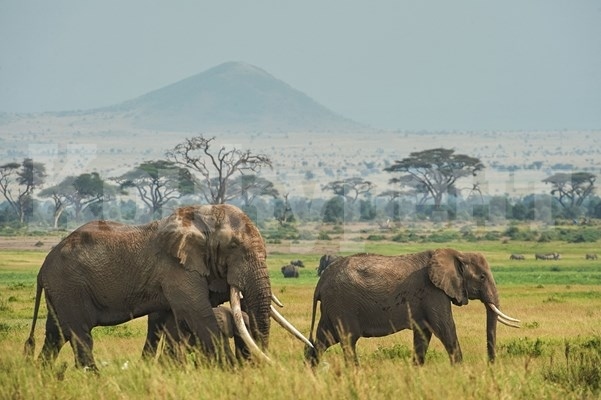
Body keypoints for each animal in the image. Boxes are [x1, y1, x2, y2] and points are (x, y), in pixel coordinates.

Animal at [23, 205, 310, 370]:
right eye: (233, 246)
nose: (255, 366)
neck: (200, 221)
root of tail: (42, 267)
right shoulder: (176, 269)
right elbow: (197, 313)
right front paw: (229, 371)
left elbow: (171, 321)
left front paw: (164, 370)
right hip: (69, 286)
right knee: (79, 333)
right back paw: (93, 377)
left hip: (61, 290)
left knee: (56, 332)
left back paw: (41, 373)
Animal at [304, 248, 520, 368]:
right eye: (482, 277)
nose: (491, 365)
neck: (458, 254)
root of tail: (321, 281)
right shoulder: (433, 292)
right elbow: (445, 328)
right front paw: (460, 369)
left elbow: (424, 334)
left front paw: (416, 369)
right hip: (343, 303)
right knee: (347, 340)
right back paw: (354, 370)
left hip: (333, 306)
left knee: (323, 339)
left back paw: (310, 370)